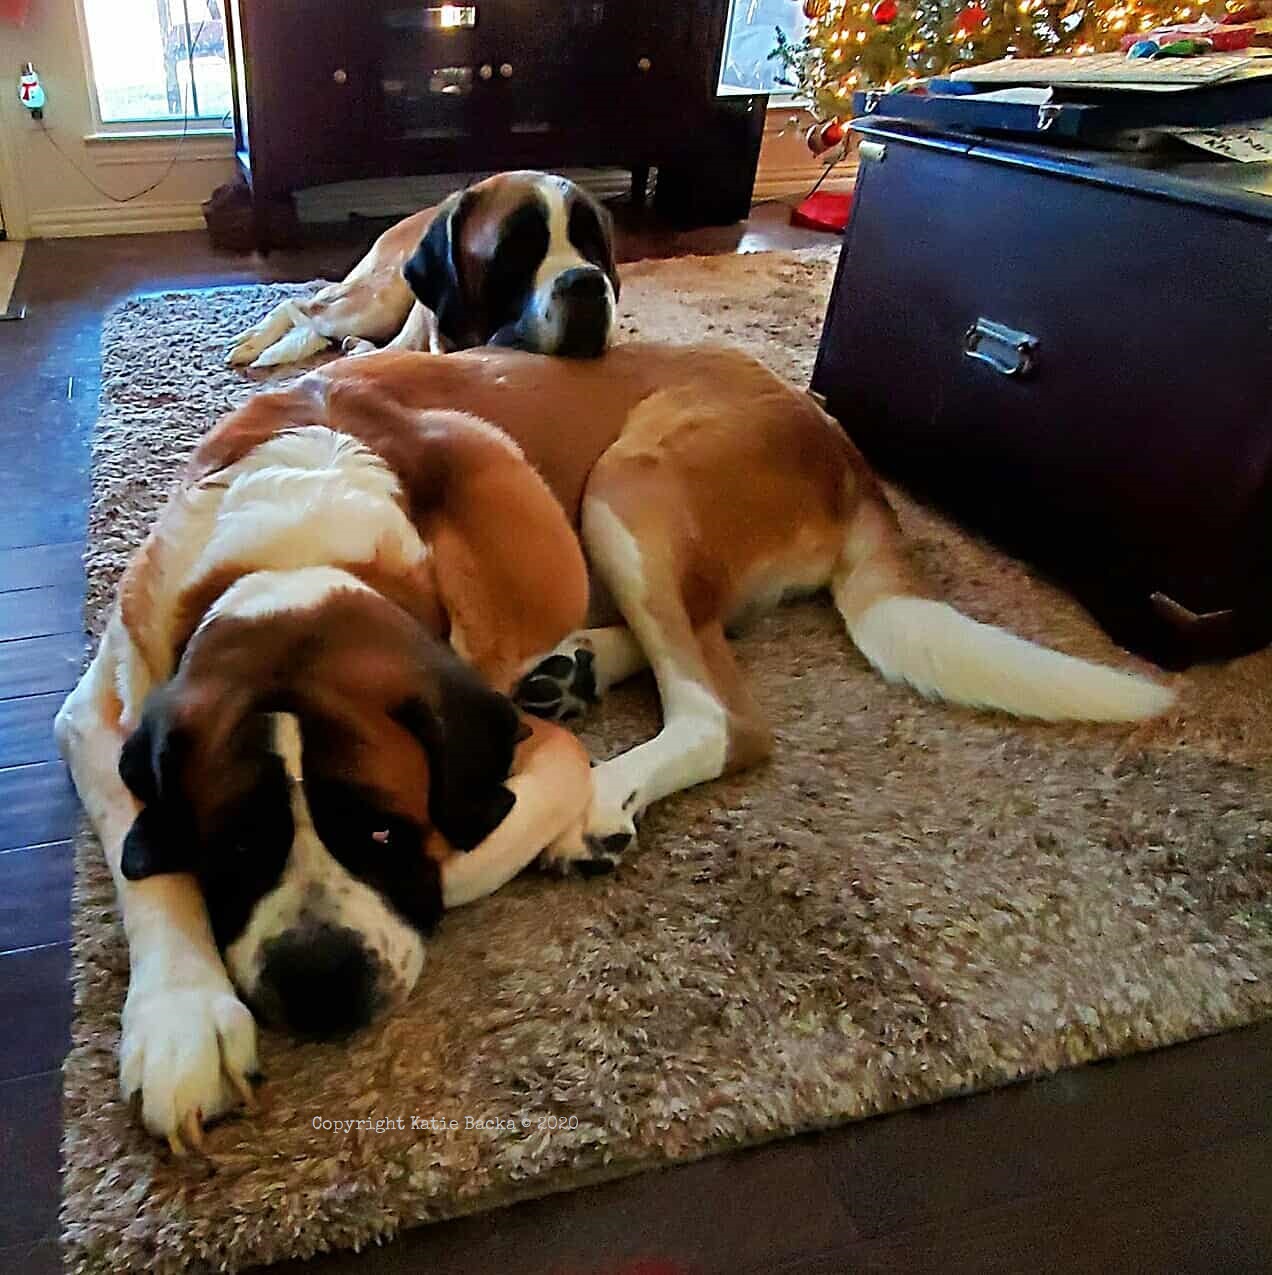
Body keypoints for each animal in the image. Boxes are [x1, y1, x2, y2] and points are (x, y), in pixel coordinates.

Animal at [57, 344, 1172, 1152]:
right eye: (237, 845)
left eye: (384, 832)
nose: (321, 977)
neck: (295, 548)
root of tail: (844, 444)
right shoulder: (102, 708)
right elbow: (144, 857)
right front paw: (181, 1020)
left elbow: (521, 797)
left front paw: (536, 808)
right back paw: (578, 667)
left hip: (630, 484)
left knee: (722, 713)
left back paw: (602, 776)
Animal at [225, 169, 621, 369]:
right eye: (515, 251)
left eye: (593, 246)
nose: (586, 281)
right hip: (378, 304)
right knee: (304, 305)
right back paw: (251, 342)